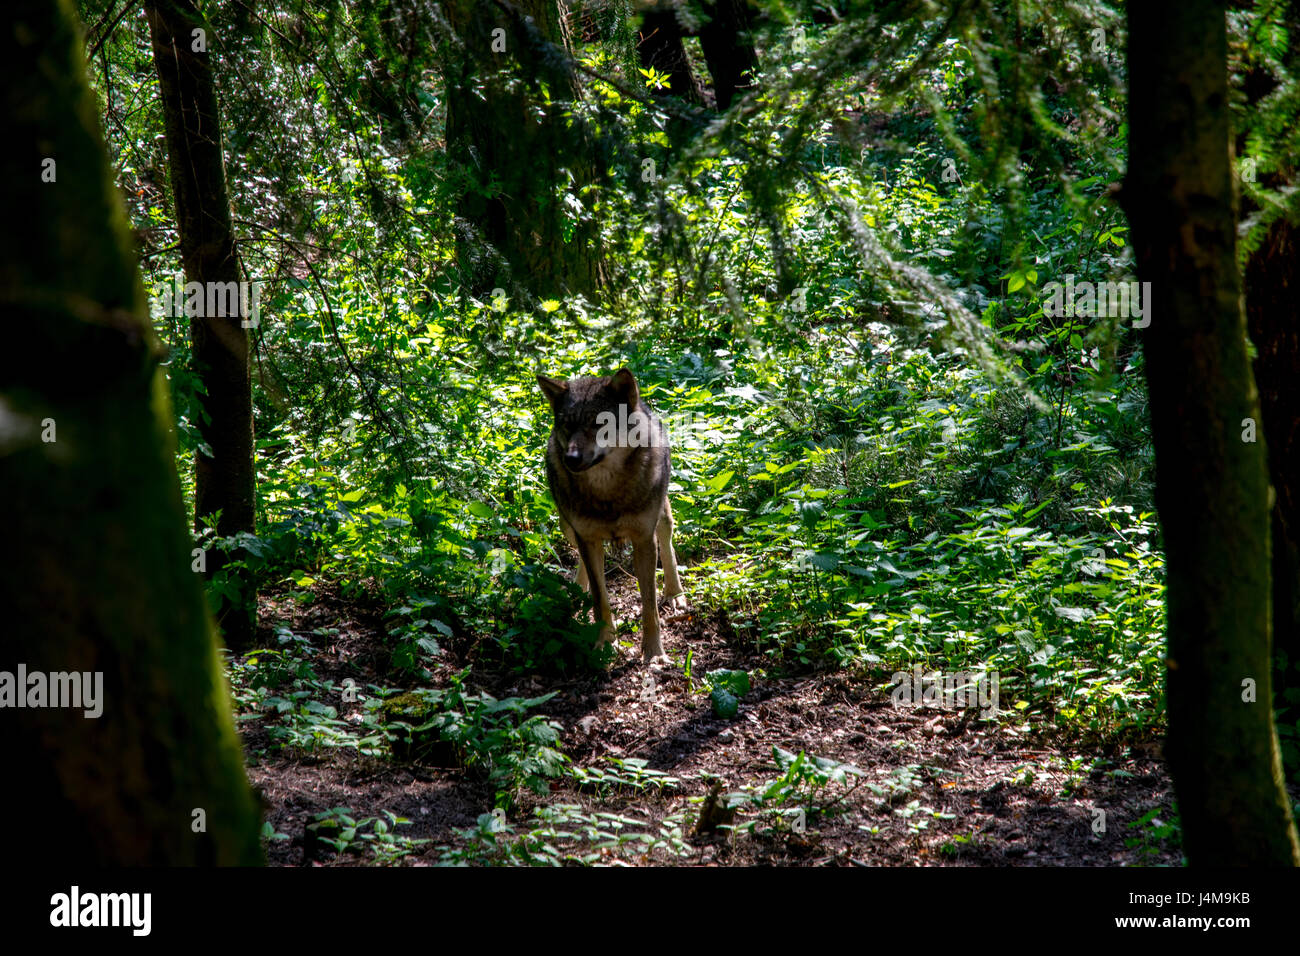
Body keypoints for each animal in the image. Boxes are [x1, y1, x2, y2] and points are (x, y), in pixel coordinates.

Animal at [536, 367, 685, 663]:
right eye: (567, 425)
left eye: (598, 423)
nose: (571, 458)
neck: (608, 491)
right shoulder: (587, 538)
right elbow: (600, 598)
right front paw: (605, 643)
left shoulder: (644, 540)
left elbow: (649, 604)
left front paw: (654, 653)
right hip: (567, 526)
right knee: (585, 568)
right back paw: (578, 590)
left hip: (661, 514)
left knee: (667, 540)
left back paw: (674, 593)